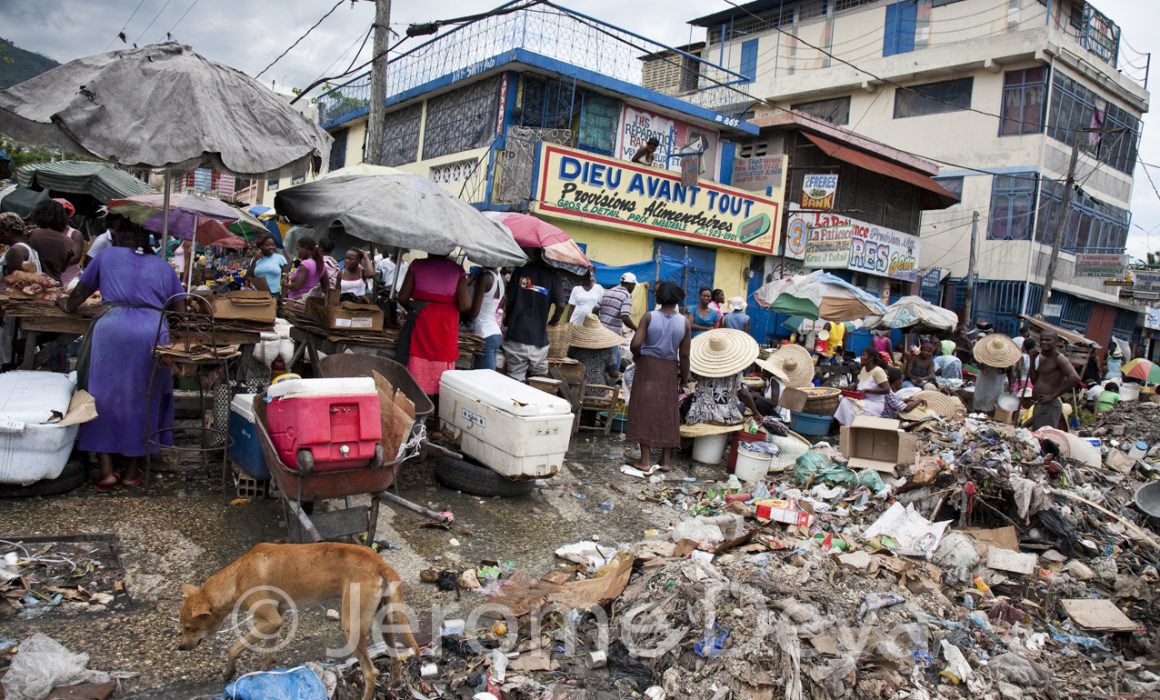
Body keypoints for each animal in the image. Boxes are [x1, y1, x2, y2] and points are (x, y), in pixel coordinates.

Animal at [177, 545, 422, 696]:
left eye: (189, 627)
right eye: (182, 627)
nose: (180, 647)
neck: (236, 578)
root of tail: (379, 561)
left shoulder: (270, 620)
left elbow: (234, 648)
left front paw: (229, 672)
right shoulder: (275, 621)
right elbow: (268, 654)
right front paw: (263, 677)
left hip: (351, 626)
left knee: (371, 672)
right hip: (386, 621)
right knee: (395, 656)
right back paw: (394, 683)